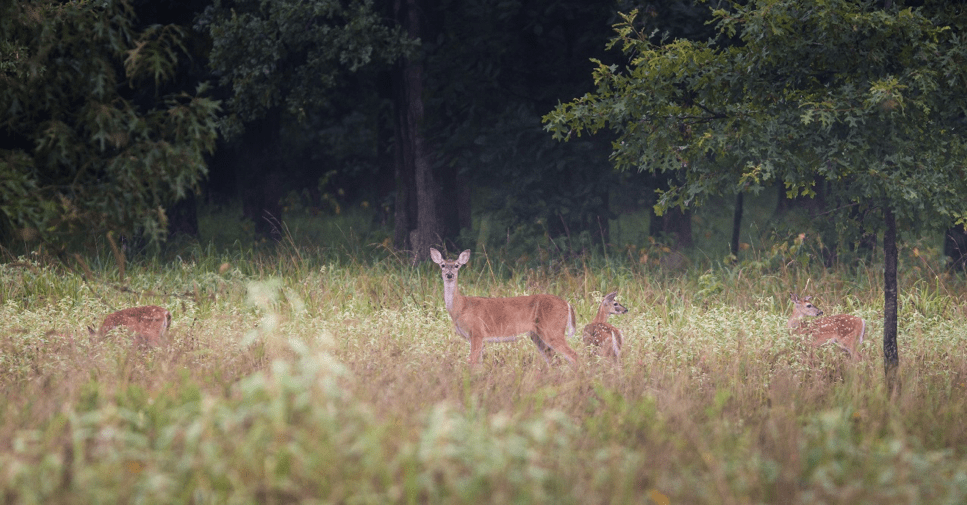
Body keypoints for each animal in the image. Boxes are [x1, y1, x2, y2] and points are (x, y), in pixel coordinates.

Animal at [430, 249, 580, 364]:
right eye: (442, 265)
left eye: (456, 265)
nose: (449, 275)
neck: (461, 307)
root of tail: (567, 304)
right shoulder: (478, 338)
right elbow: (479, 363)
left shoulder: (477, 332)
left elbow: (471, 361)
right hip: (537, 335)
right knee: (553, 359)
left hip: (552, 329)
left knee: (573, 355)